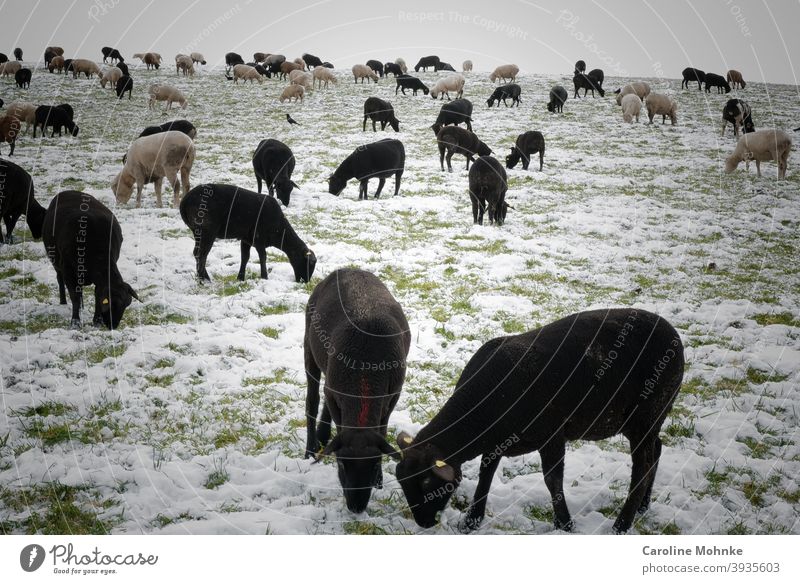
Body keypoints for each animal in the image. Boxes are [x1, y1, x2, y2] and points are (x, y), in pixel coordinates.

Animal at [41, 190, 139, 328]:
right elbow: (75, 297)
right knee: (60, 280)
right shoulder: (68, 270)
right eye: (109, 304)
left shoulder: (99, 279)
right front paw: (75, 322)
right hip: (56, 261)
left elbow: (96, 295)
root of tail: (68, 191)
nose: (113, 326)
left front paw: (97, 320)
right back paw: (63, 302)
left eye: (126, 305)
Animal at [180, 182, 318, 282]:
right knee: (201, 254)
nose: (305, 282)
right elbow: (263, 257)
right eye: (309, 264)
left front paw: (240, 278)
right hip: (207, 230)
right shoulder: (259, 238)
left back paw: (202, 278)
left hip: (197, 231)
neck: (279, 230)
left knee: (197, 253)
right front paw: (264, 277)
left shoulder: (246, 239)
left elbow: (245, 258)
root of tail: (185, 201)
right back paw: (204, 280)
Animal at [304, 266, 410, 512]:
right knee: (312, 399)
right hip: (309, 347)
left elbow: (381, 428)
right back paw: (311, 447)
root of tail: (345, 269)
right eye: (342, 466)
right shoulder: (335, 391)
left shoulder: (393, 395)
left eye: (374, 465)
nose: (356, 508)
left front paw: (379, 481)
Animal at [396, 306, 684, 532]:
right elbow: (485, 475)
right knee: (657, 449)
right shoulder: (496, 440)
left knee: (642, 466)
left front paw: (565, 525)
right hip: (650, 419)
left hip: (647, 415)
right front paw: (471, 522)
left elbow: (552, 480)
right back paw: (643, 506)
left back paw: (622, 525)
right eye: (401, 480)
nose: (423, 523)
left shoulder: (552, 435)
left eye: (426, 481)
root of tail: (674, 336)